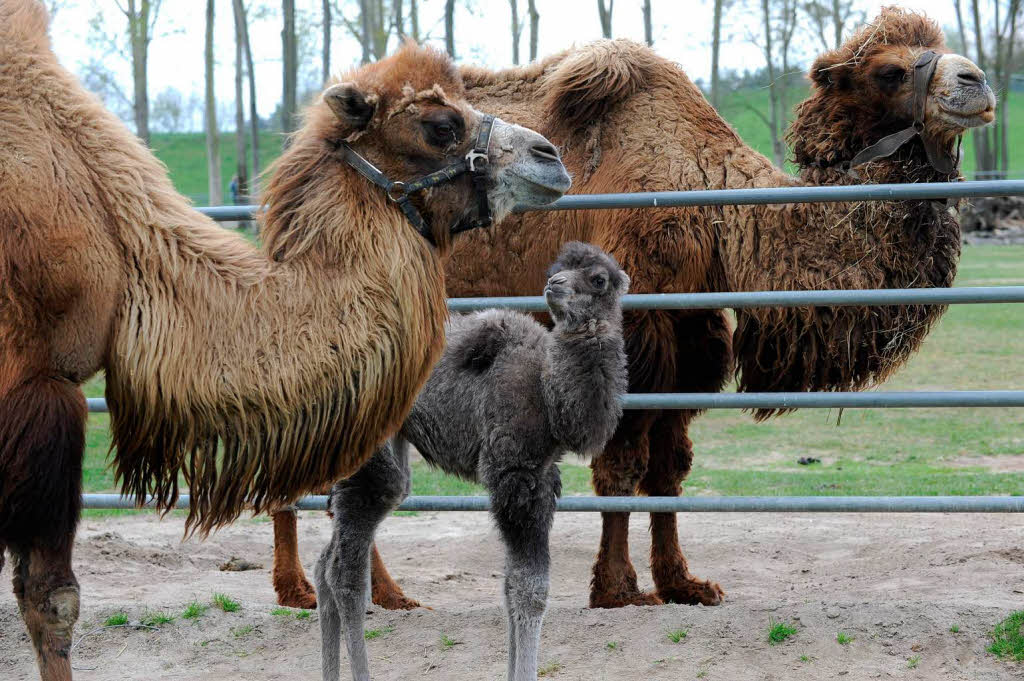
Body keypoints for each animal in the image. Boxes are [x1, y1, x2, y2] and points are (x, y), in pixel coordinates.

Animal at [268, 6, 995, 610]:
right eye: (889, 70)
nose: (979, 82)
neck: (711, 207)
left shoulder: (692, 338)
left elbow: (669, 470)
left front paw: (683, 583)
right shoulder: (630, 336)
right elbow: (620, 464)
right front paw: (618, 589)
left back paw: (353, 593)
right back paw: (336, 592)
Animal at [315, 242, 626, 679]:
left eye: (598, 278)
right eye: (558, 269)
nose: (553, 284)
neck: (547, 391)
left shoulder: (543, 475)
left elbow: (511, 586)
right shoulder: (512, 471)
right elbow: (530, 589)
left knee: (327, 561)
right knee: (345, 571)